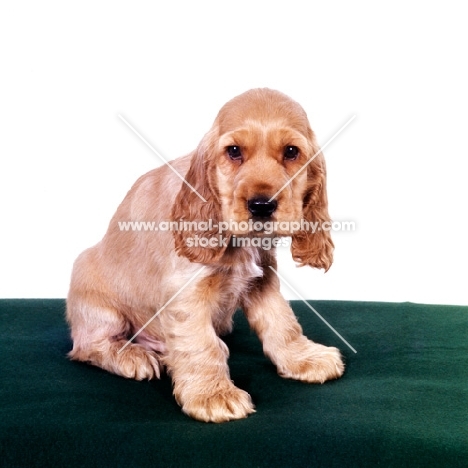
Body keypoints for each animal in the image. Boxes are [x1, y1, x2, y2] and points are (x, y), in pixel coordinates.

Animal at [66, 87, 344, 420]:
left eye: (291, 152)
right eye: (234, 151)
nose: (261, 206)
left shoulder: (262, 279)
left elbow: (282, 321)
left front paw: (304, 357)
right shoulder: (185, 292)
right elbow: (201, 343)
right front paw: (213, 394)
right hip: (96, 299)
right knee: (88, 345)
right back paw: (132, 356)